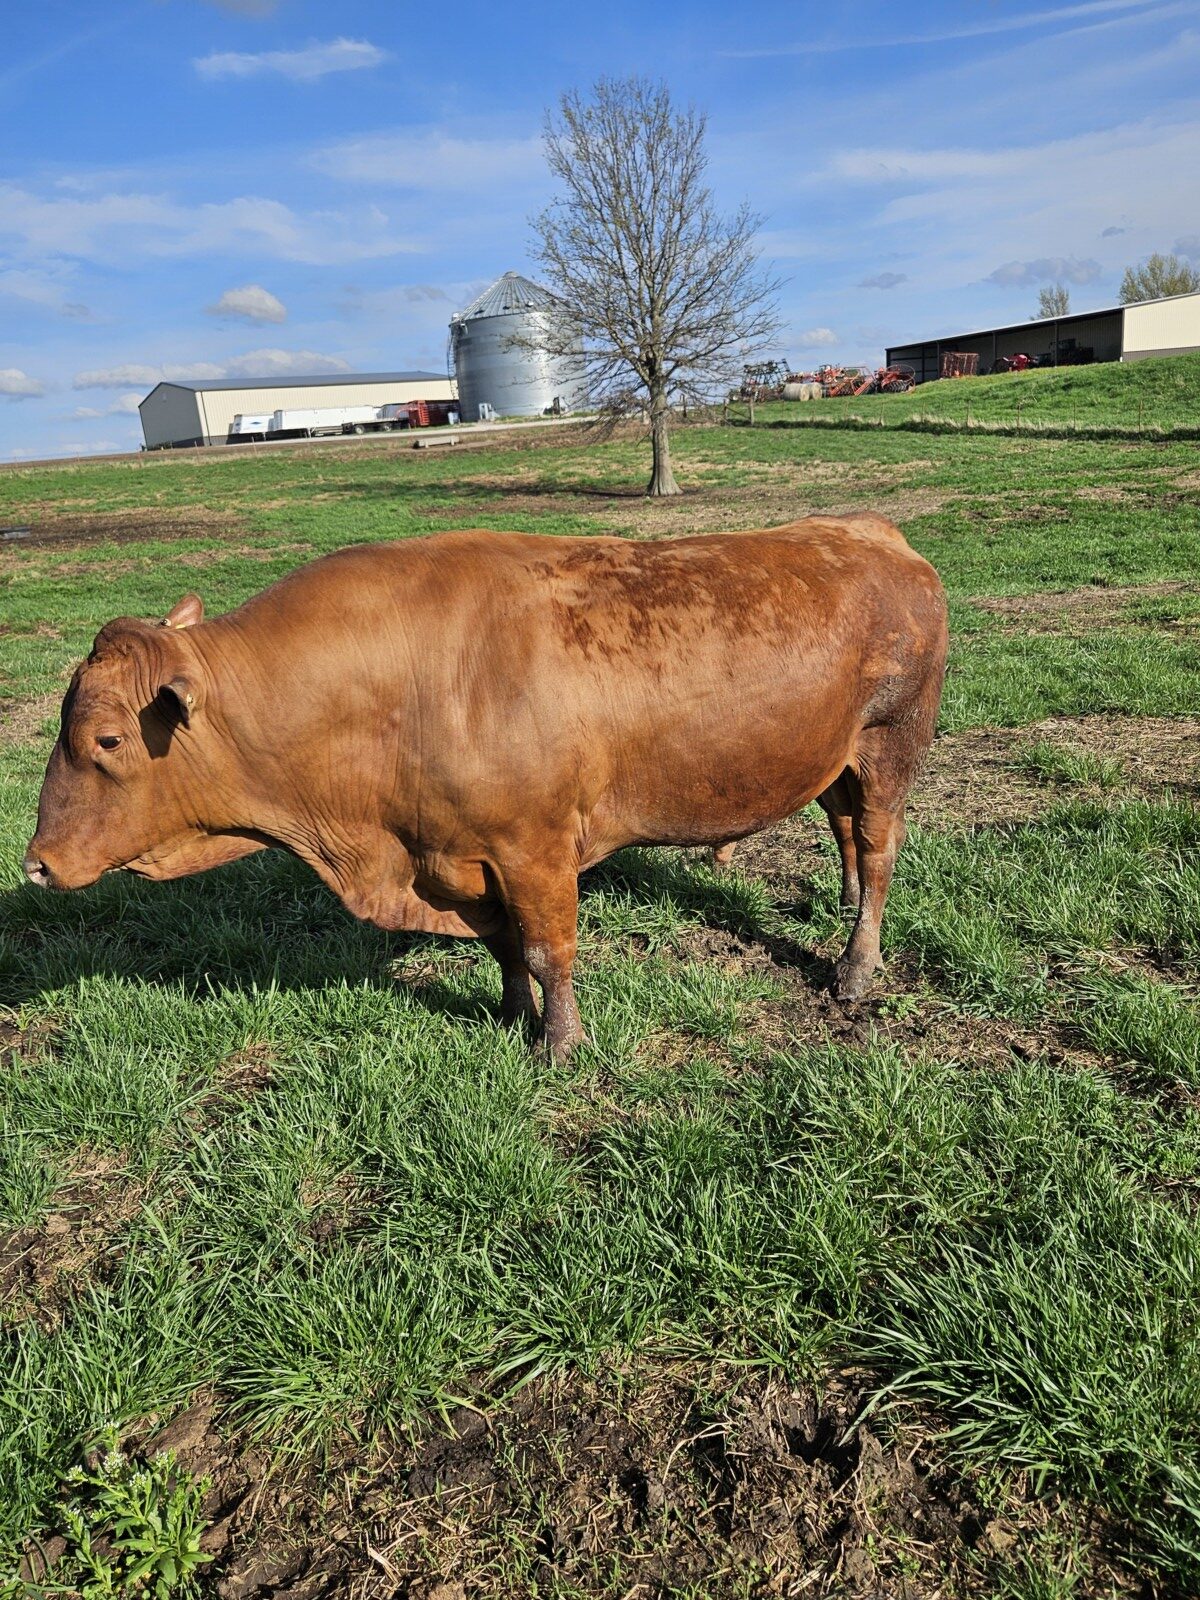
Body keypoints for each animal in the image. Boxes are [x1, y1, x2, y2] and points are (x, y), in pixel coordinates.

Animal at [24, 517, 948, 1060]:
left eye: (107, 739)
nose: (35, 864)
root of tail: (872, 530)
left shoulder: (535, 849)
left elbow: (548, 950)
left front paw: (558, 1044)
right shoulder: (461, 858)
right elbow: (503, 946)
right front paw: (509, 1014)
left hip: (892, 745)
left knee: (880, 849)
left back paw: (856, 964)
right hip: (834, 758)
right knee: (843, 828)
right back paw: (837, 903)